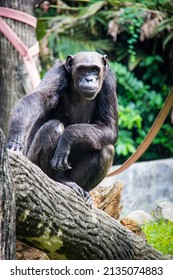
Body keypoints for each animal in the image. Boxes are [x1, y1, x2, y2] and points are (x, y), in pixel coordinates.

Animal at [6, 51, 117, 205]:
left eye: (95, 69)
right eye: (82, 69)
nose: (89, 79)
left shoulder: (109, 83)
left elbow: (109, 126)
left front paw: (68, 137)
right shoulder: (57, 73)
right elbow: (38, 98)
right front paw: (16, 135)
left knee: (106, 150)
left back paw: (82, 190)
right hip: (32, 161)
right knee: (53, 127)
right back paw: (59, 180)